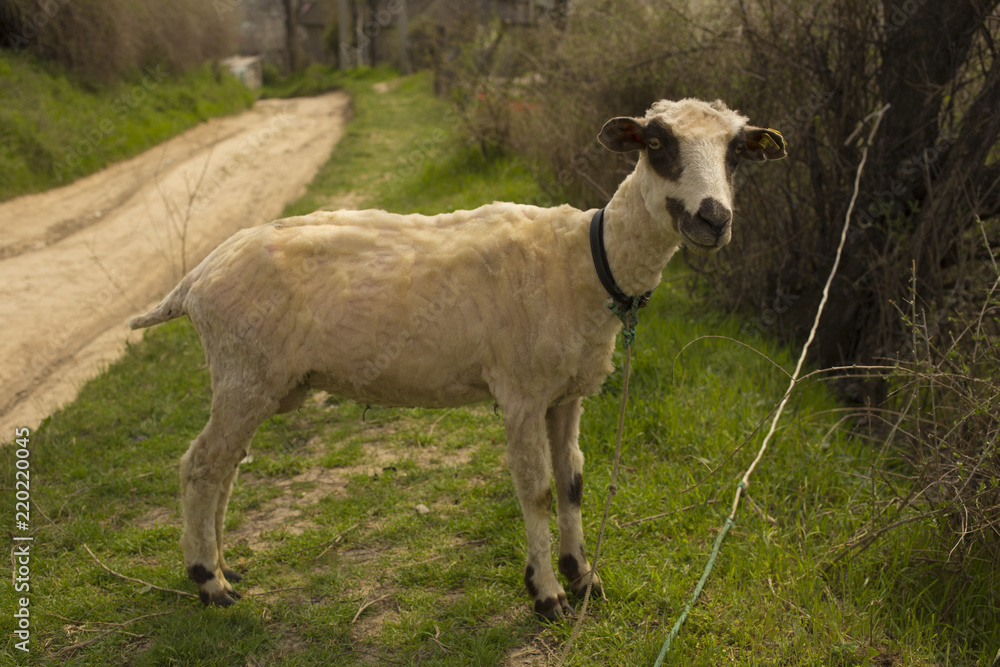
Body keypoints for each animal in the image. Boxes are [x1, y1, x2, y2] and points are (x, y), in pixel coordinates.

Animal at [129, 97, 786, 620]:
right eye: (655, 144)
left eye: (736, 153)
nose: (713, 218)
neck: (588, 259)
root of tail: (195, 279)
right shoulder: (520, 392)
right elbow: (536, 490)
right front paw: (547, 595)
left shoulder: (566, 394)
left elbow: (572, 483)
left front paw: (583, 577)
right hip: (244, 372)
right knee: (200, 467)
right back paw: (209, 583)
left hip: (254, 379)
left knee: (225, 470)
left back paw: (225, 566)